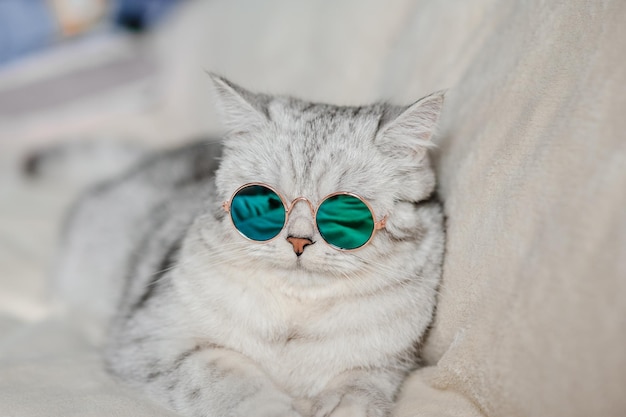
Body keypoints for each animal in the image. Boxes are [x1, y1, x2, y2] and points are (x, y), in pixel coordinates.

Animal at [52, 75, 444, 416]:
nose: (298, 240)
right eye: (263, 204)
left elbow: (360, 390)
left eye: (347, 214)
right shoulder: (150, 342)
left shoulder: (386, 364)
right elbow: (229, 377)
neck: (294, 321)